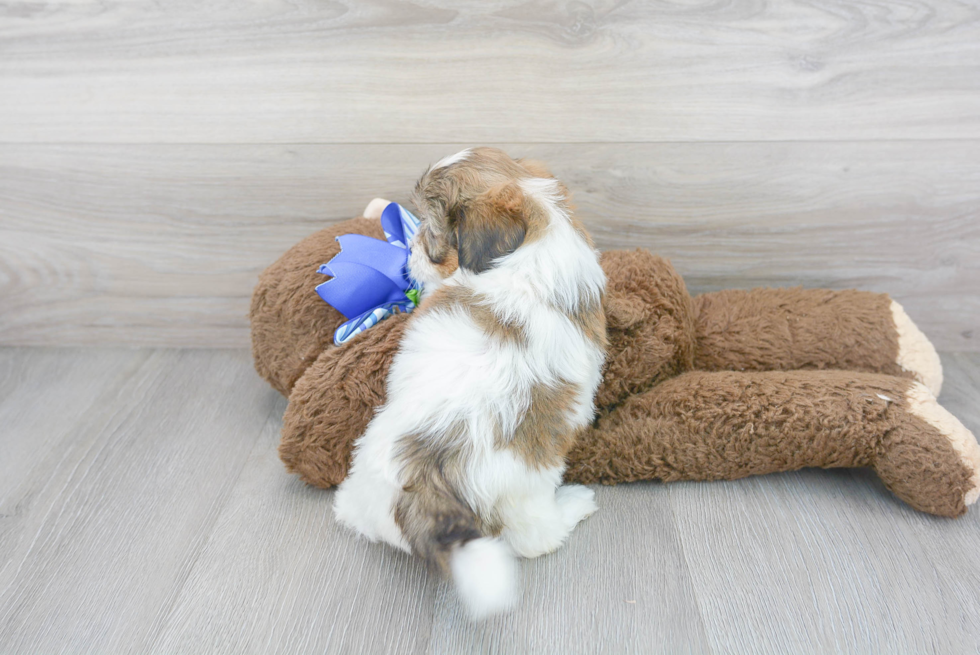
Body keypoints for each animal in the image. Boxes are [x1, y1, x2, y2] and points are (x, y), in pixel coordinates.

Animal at [334, 147, 604, 620]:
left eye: (431, 232)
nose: (408, 258)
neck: (534, 238)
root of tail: (428, 473)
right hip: (526, 481)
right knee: (534, 537)